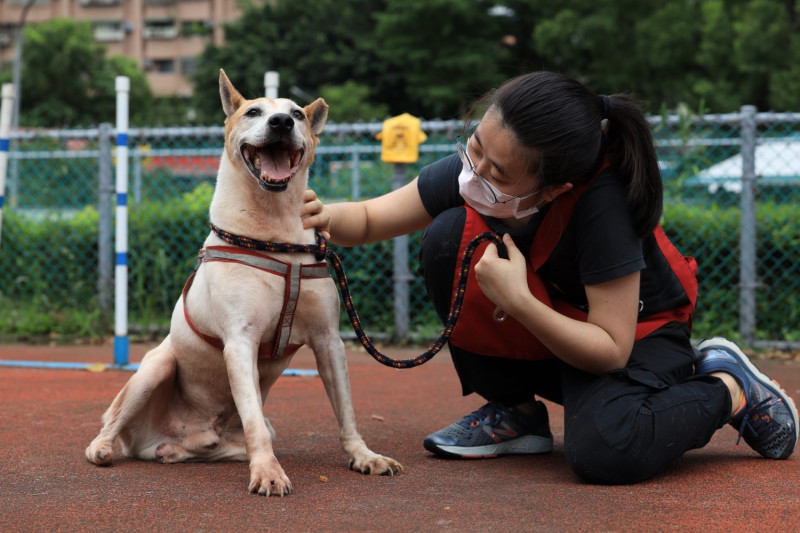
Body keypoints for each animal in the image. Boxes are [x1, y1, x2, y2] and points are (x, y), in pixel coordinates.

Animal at [83, 69, 400, 494]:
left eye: (297, 114)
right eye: (253, 112)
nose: (280, 123)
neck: (276, 234)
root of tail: (156, 442)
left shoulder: (328, 341)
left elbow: (346, 411)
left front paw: (364, 457)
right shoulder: (239, 340)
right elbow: (253, 422)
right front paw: (267, 471)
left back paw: (181, 452)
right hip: (155, 366)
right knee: (110, 425)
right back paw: (103, 447)